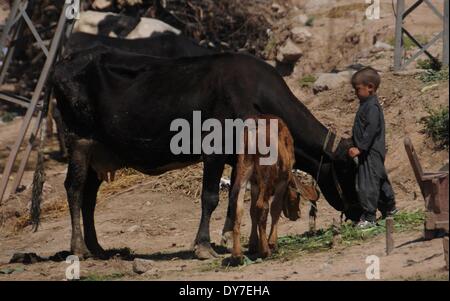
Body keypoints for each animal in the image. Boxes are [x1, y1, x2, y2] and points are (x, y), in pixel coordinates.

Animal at [51, 47, 360, 258]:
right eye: (348, 170)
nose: (359, 212)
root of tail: (65, 62)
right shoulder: (215, 148)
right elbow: (210, 197)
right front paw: (203, 246)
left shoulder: (239, 157)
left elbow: (239, 196)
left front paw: (232, 239)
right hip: (79, 140)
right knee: (74, 189)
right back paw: (79, 248)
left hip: (100, 151)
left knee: (89, 198)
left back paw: (97, 248)